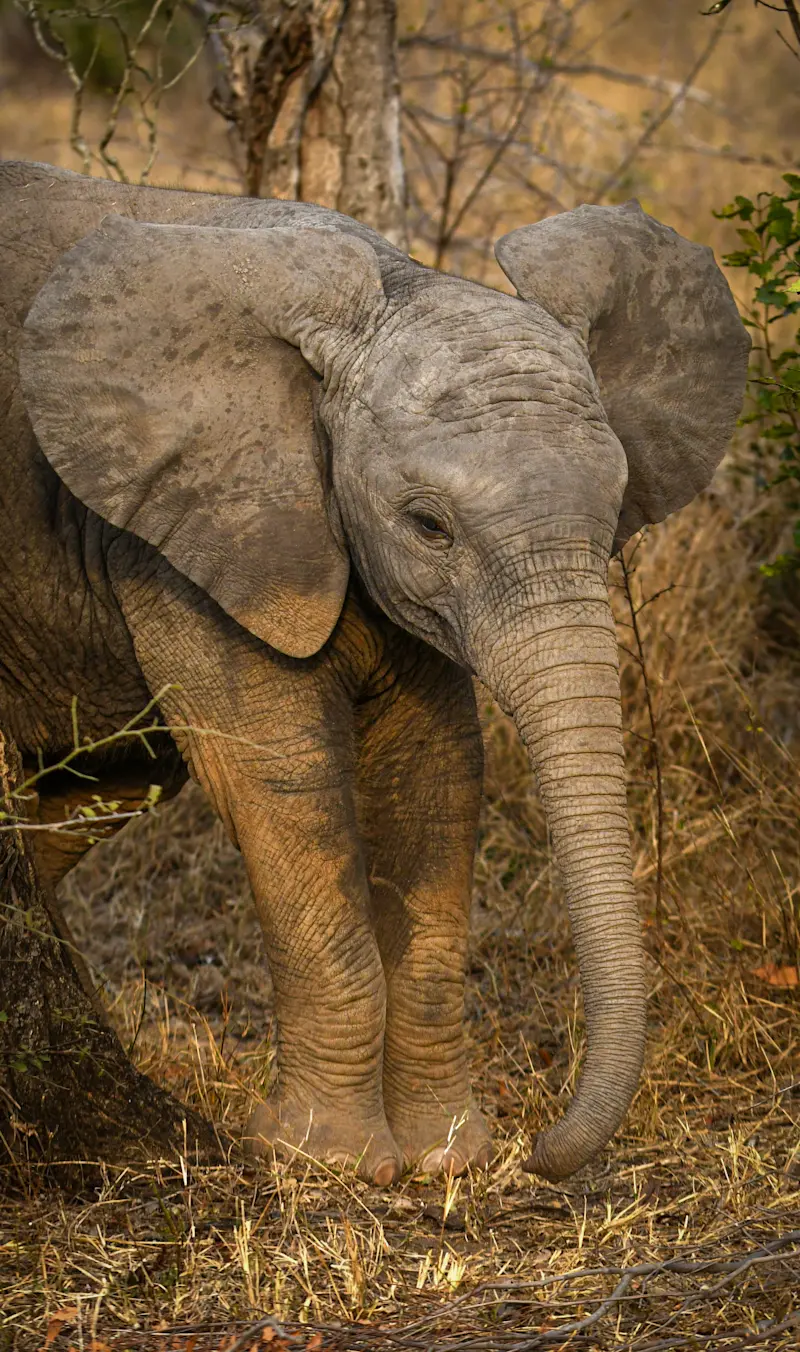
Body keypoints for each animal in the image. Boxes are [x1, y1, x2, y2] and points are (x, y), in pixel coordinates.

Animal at [0, 158, 749, 1184]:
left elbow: (436, 774)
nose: (543, 1149)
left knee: (96, 784)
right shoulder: (183, 538)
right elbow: (281, 777)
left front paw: (447, 1157)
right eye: (429, 525)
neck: (389, 290)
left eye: (616, 508)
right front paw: (323, 1160)